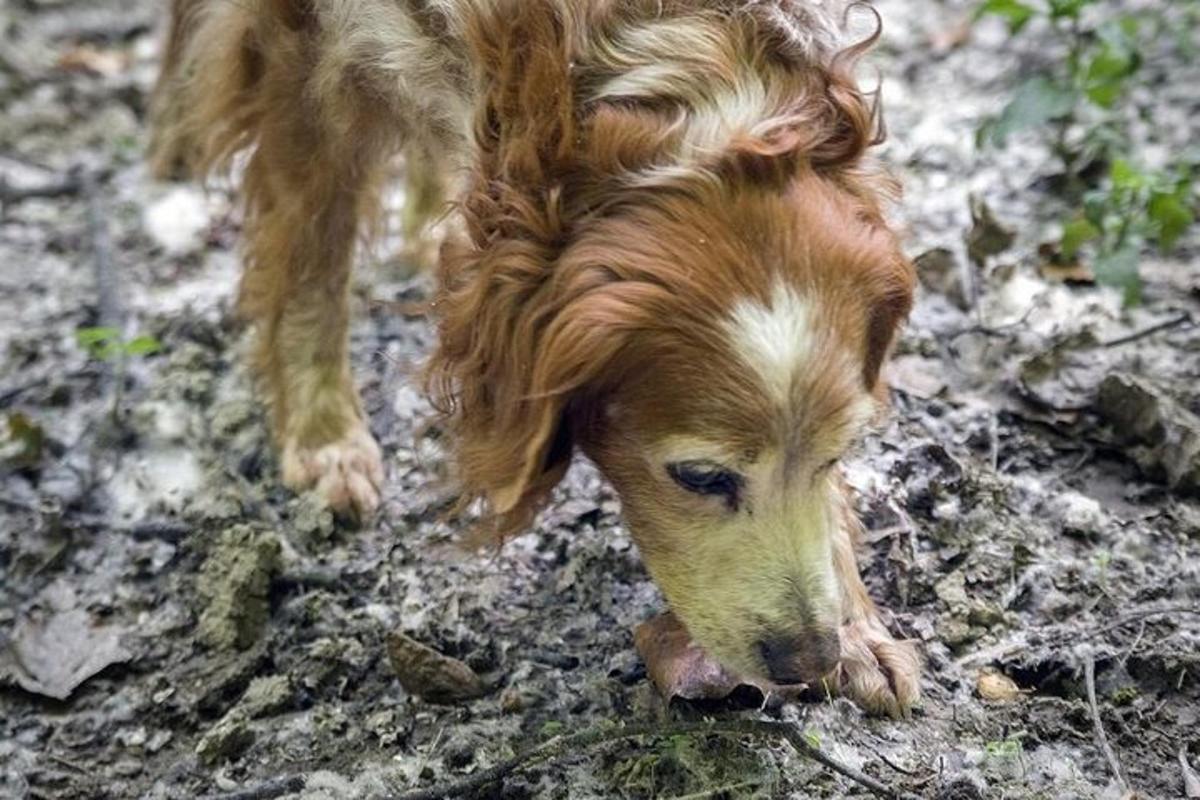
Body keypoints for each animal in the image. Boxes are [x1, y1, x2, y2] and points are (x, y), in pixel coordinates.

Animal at [150, 0, 916, 714]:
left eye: (837, 455)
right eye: (700, 477)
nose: (810, 656)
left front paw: (859, 633)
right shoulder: (297, 40)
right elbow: (314, 258)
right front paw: (324, 438)